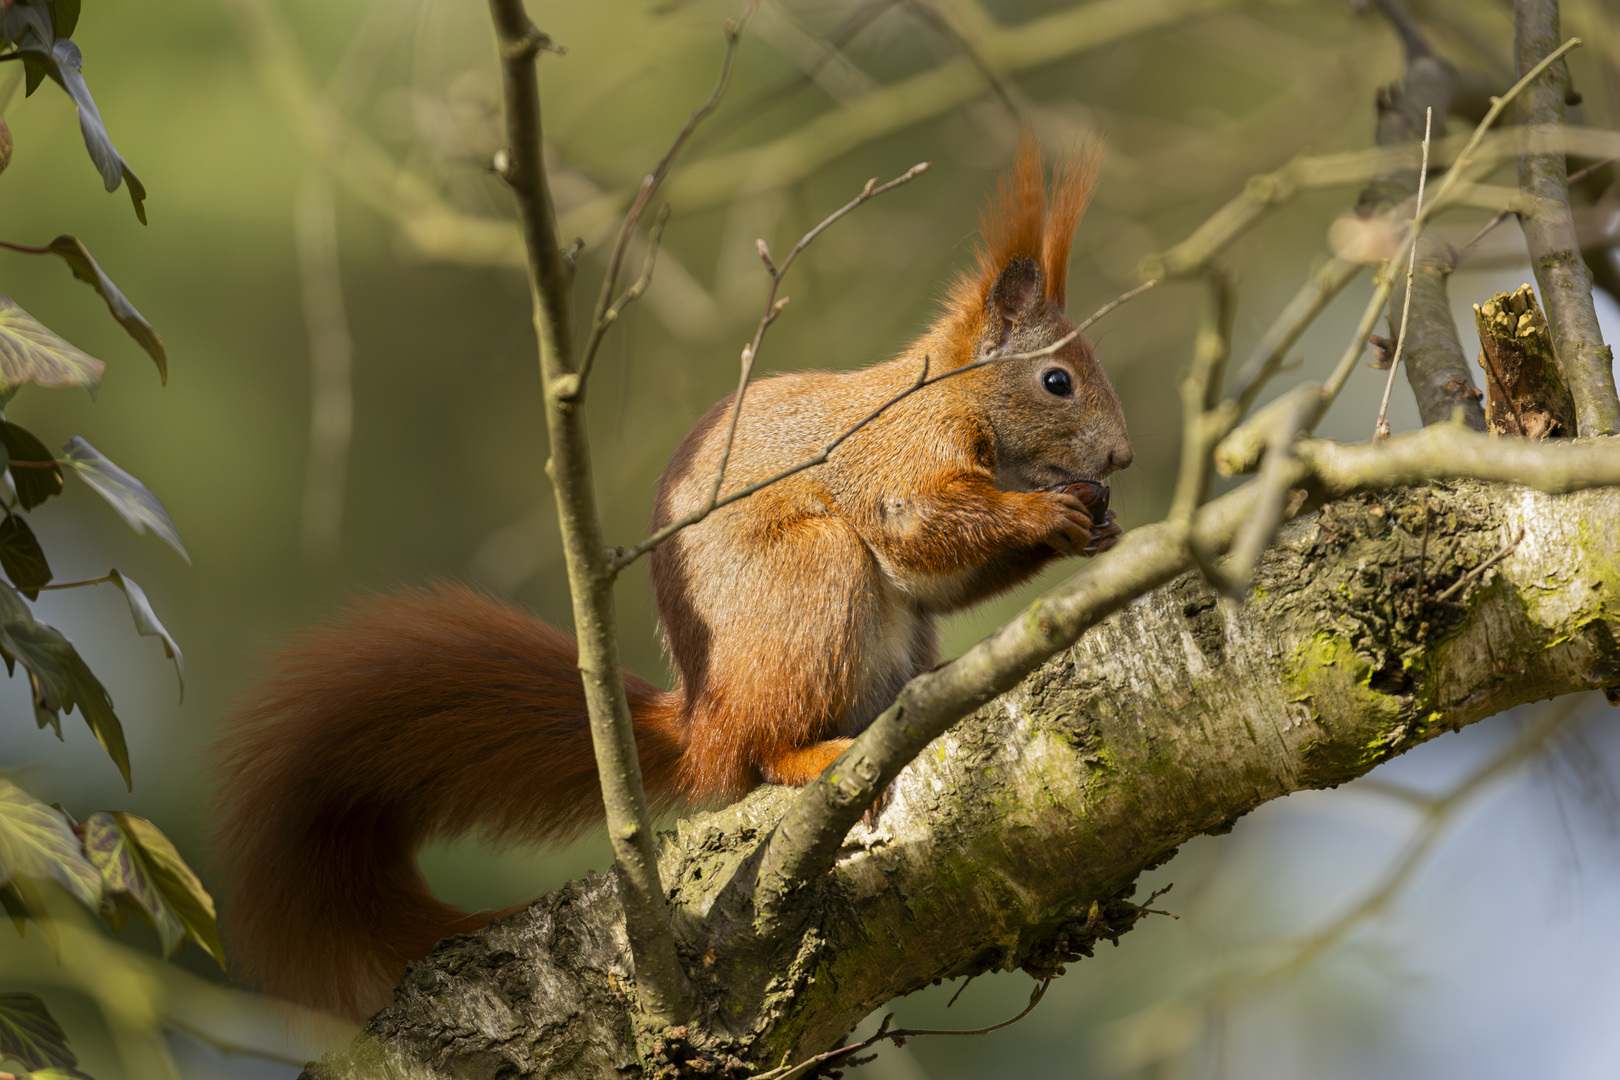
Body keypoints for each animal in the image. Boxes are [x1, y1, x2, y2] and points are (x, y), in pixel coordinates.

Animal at [212, 137, 1127, 1023]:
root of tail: (704, 723)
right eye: (1057, 381)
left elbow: (938, 582)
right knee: (761, 756)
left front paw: (1095, 527)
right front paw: (1046, 514)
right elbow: (914, 529)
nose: (1120, 457)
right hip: (812, 580)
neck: (951, 398)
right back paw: (814, 757)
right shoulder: (892, 456)